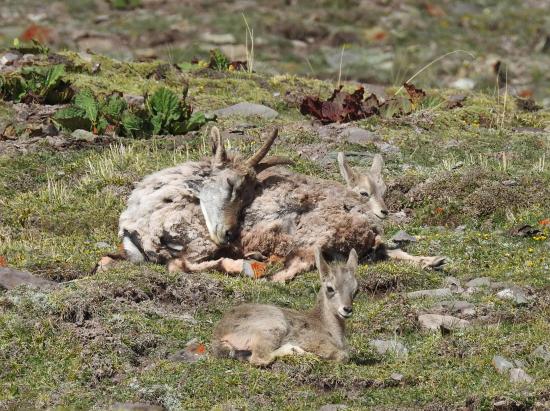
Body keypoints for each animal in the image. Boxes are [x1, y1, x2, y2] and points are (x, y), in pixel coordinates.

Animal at [212, 248, 362, 366]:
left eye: (356, 290)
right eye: (330, 288)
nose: (347, 309)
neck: (328, 326)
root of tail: (220, 334)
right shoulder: (315, 342)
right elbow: (343, 356)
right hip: (274, 326)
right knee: (260, 358)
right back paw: (295, 350)